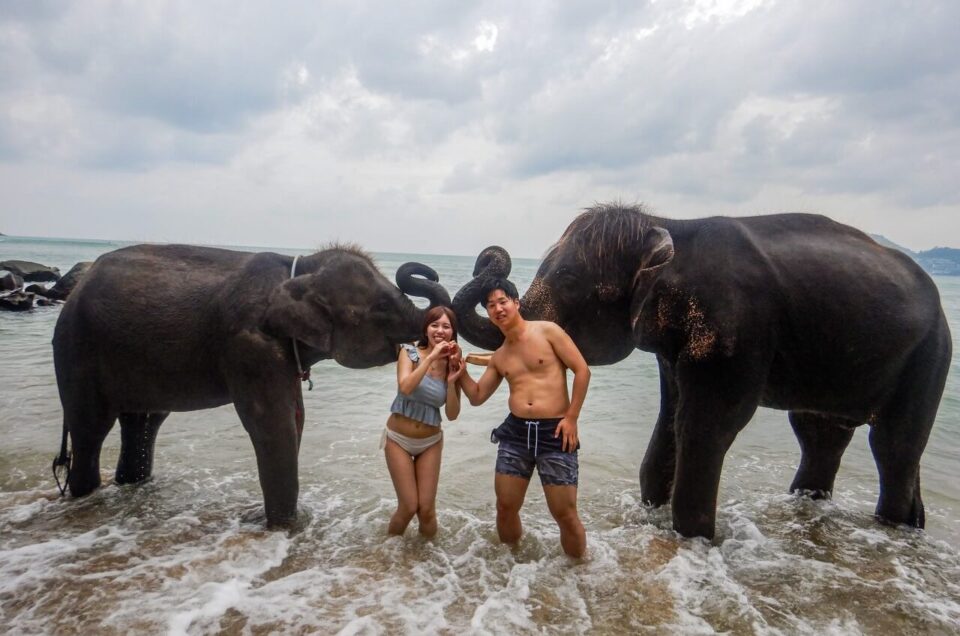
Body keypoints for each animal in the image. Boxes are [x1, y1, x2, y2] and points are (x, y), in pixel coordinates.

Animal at [52, 243, 449, 527]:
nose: (428, 269)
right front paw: (284, 527)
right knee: (90, 428)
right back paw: (85, 496)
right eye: (381, 305)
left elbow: (295, 419)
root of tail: (75, 289)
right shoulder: (249, 345)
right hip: (76, 351)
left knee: (143, 422)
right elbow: (273, 425)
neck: (298, 268)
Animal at [452, 203, 951, 539]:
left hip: (930, 357)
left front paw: (692, 535)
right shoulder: (675, 349)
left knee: (893, 445)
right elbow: (670, 421)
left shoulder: (735, 330)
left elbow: (706, 425)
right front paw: (654, 513)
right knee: (821, 435)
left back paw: (893, 524)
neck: (671, 227)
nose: (491, 258)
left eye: (570, 280)